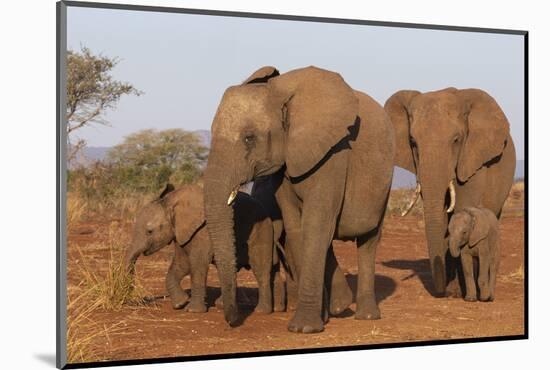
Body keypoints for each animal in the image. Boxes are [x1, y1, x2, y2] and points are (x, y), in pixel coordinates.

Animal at [124, 184, 284, 314]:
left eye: (149, 231)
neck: (172, 201)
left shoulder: (203, 231)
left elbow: (197, 263)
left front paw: (193, 310)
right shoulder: (182, 232)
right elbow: (181, 264)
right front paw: (180, 303)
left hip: (261, 232)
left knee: (261, 269)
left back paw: (261, 311)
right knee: (271, 268)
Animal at [386, 87, 520, 298]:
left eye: (456, 140)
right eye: (413, 142)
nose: (440, 292)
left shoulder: (473, 161)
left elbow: (461, 210)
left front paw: (458, 292)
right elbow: (441, 219)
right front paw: (453, 291)